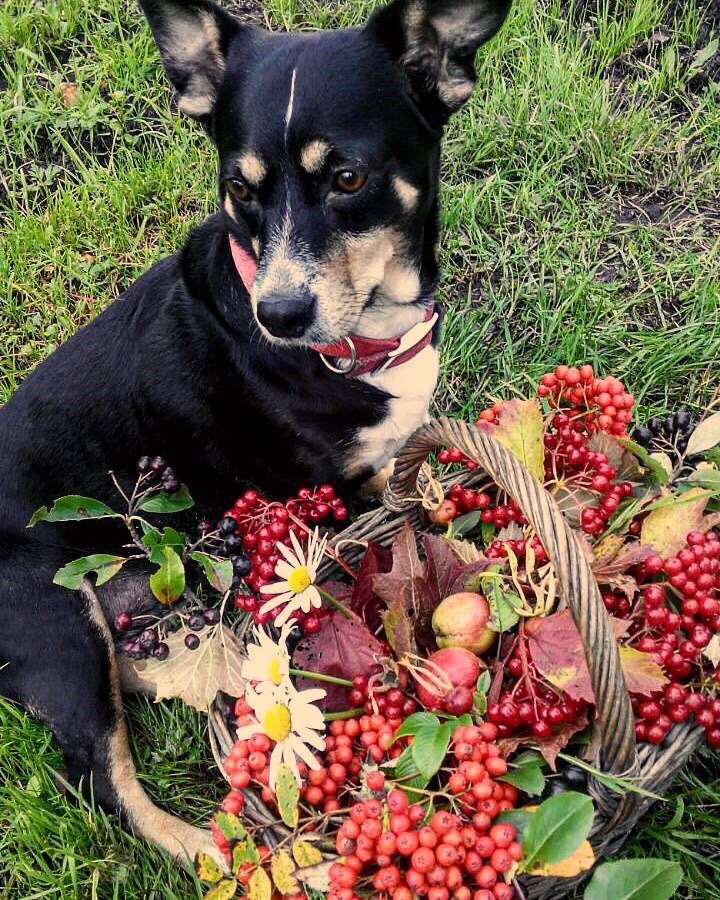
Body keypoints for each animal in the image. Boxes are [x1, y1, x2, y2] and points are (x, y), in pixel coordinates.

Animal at [0, 0, 512, 868]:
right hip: (59, 624)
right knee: (106, 782)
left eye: (348, 178)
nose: (279, 315)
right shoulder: (318, 497)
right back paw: (219, 848)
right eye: (239, 188)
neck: (362, 341)